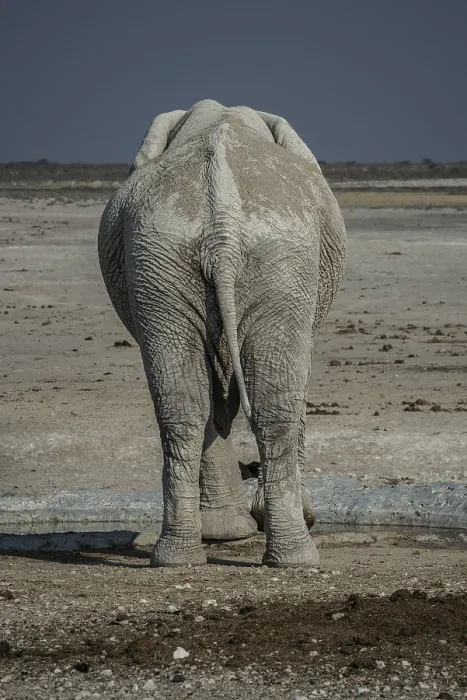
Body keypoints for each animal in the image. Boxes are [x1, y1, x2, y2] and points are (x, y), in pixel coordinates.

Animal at [98, 99, 346, 568]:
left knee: (183, 404)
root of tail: (222, 235)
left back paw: (179, 557)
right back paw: (295, 555)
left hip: (166, 259)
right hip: (268, 257)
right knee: (272, 402)